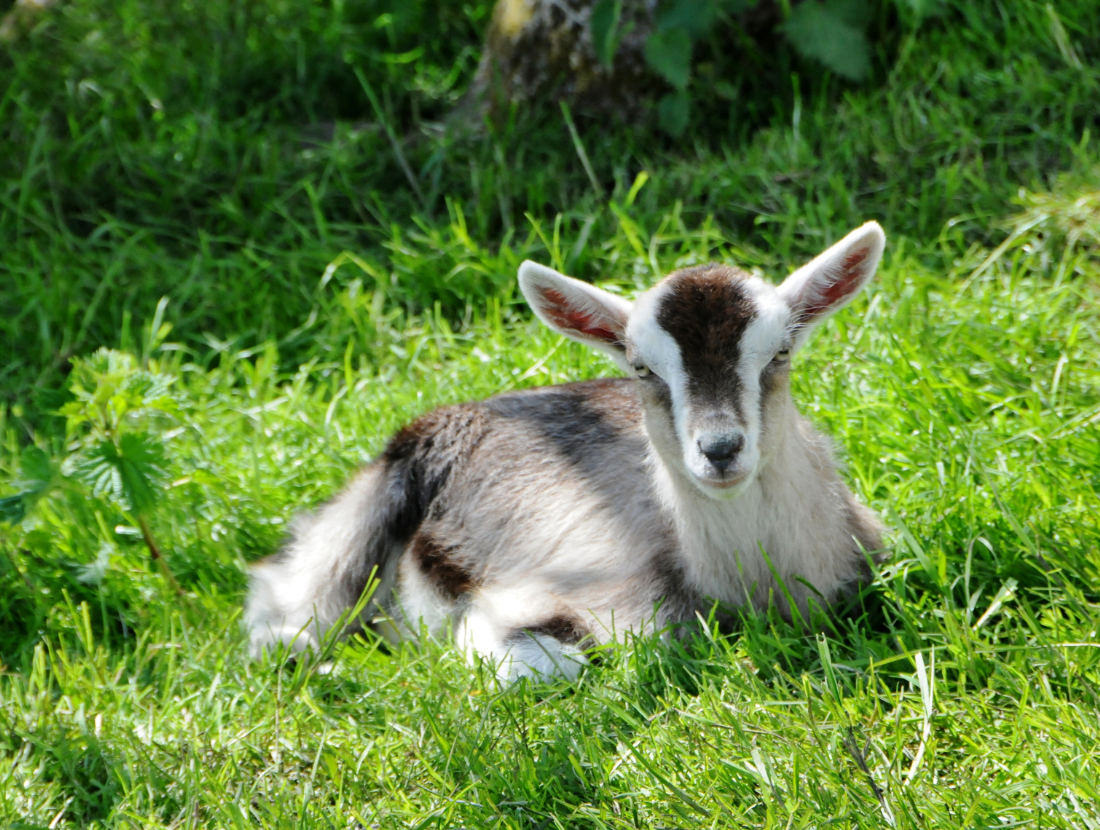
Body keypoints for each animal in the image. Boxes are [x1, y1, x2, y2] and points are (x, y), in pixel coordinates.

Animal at [247, 222, 884, 681]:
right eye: (641, 368)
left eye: (780, 353)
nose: (721, 449)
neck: (740, 592)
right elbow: (547, 655)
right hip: (367, 518)